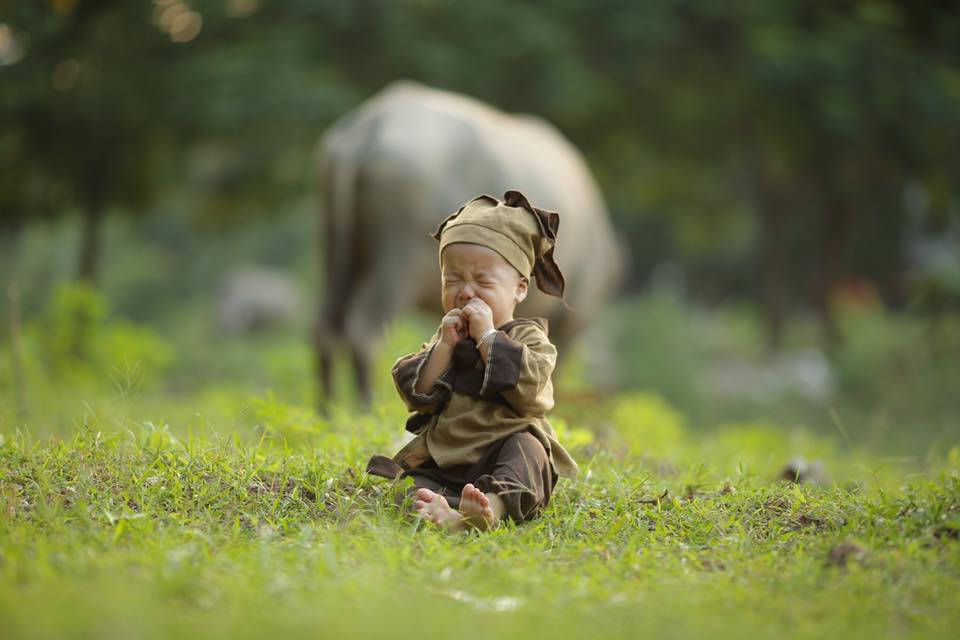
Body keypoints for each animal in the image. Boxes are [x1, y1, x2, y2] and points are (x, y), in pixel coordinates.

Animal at [312, 80, 620, 408]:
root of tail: (368, 127)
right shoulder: (575, 316)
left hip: (335, 246)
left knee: (326, 327)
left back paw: (327, 409)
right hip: (398, 260)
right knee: (364, 329)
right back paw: (366, 408)